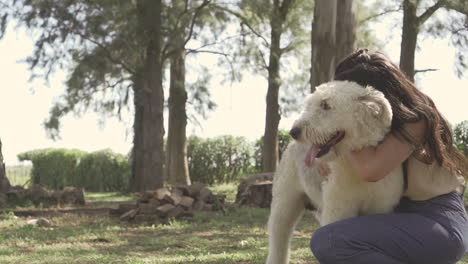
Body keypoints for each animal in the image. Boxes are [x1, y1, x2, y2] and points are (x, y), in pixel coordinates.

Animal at [266, 80, 406, 264]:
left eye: (325, 105)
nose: (293, 132)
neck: (358, 170)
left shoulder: (380, 208)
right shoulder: (337, 211)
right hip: (285, 202)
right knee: (279, 239)